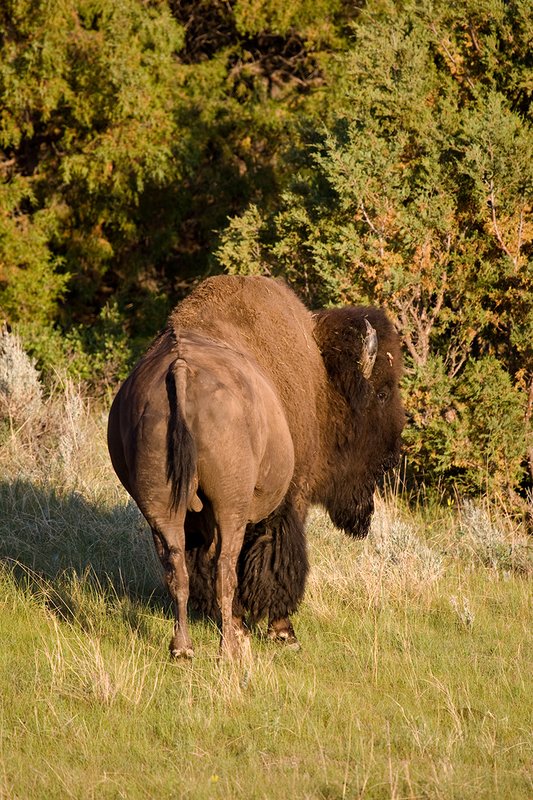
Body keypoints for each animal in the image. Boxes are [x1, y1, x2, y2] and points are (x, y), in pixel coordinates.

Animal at [107, 275, 405, 659]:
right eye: (382, 393)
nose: (392, 455)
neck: (320, 374)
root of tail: (181, 368)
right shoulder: (291, 497)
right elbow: (279, 560)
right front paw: (284, 633)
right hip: (230, 506)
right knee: (225, 566)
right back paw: (229, 648)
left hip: (161, 506)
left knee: (177, 567)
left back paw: (184, 649)